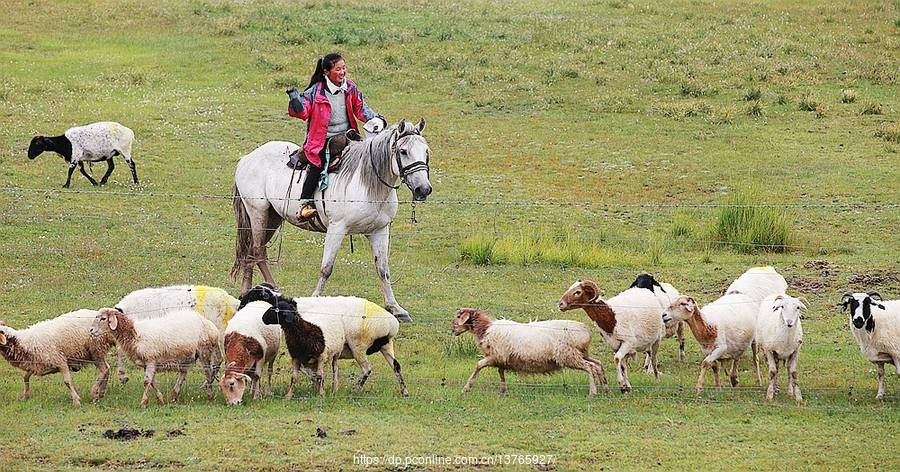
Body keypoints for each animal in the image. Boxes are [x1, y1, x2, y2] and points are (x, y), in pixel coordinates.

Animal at [89, 308, 221, 408]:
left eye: (103, 318)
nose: (91, 330)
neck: (134, 334)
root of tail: (208, 323)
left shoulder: (151, 360)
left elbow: (147, 382)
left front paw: (143, 403)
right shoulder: (146, 363)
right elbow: (152, 382)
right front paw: (160, 400)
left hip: (204, 351)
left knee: (208, 373)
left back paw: (210, 396)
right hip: (186, 355)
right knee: (183, 373)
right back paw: (175, 394)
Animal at [230, 120, 430, 322]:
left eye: (426, 151)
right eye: (403, 151)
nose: (423, 189)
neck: (368, 184)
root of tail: (247, 158)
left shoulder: (380, 231)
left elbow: (382, 269)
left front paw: (395, 308)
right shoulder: (337, 228)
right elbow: (326, 268)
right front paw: (315, 300)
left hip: (272, 217)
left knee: (251, 251)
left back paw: (246, 292)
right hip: (258, 211)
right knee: (257, 251)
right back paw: (273, 289)